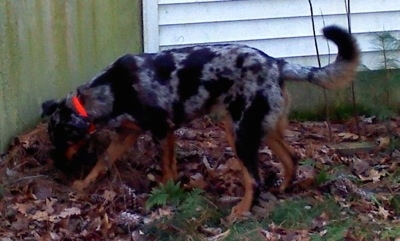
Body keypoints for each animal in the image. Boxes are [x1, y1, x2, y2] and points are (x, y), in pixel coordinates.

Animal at [41, 25, 360, 220]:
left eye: (60, 140)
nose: (57, 167)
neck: (111, 90)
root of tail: (275, 62)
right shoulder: (127, 134)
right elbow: (103, 161)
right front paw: (83, 184)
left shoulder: (162, 131)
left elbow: (167, 169)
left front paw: (166, 195)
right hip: (256, 127)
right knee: (290, 158)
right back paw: (282, 190)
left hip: (239, 133)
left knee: (254, 180)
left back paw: (240, 211)